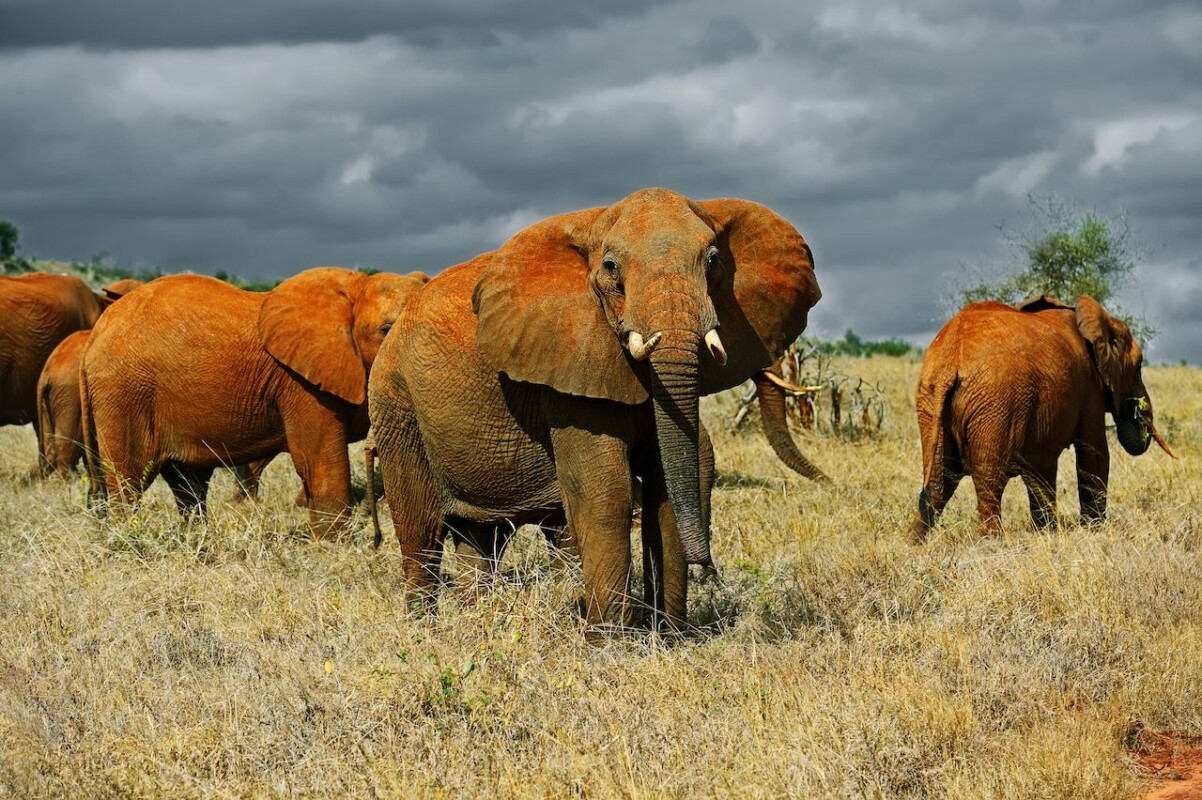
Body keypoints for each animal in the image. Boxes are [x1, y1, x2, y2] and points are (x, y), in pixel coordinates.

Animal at [81, 267, 427, 535]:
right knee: (129, 482)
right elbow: (319, 463)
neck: (354, 289)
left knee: (188, 485)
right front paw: (334, 549)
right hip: (124, 392)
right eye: (385, 330)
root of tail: (95, 335)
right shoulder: (300, 383)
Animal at [372, 188, 826, 629]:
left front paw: (669, 637)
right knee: (421, 533)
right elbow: (606, 495)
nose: (708, 566)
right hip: (396, 406)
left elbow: (669, 487)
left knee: (480, 537)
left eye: (714, 261)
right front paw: (611, 642)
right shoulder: (567, 370)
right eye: (610, 267)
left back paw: (480, 622)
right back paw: (425, 631)